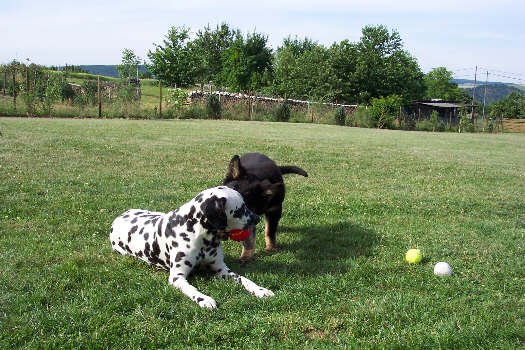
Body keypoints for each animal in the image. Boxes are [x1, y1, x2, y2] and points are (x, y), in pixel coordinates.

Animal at [110, 186, 274, 308]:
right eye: (240, 210)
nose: (257, 219)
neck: (201, 236)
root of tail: (119, 217)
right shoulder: (177, 277)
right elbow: (191, 289)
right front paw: (204, 299)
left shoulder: (222, 270)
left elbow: (244, 279)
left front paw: (261, 290)